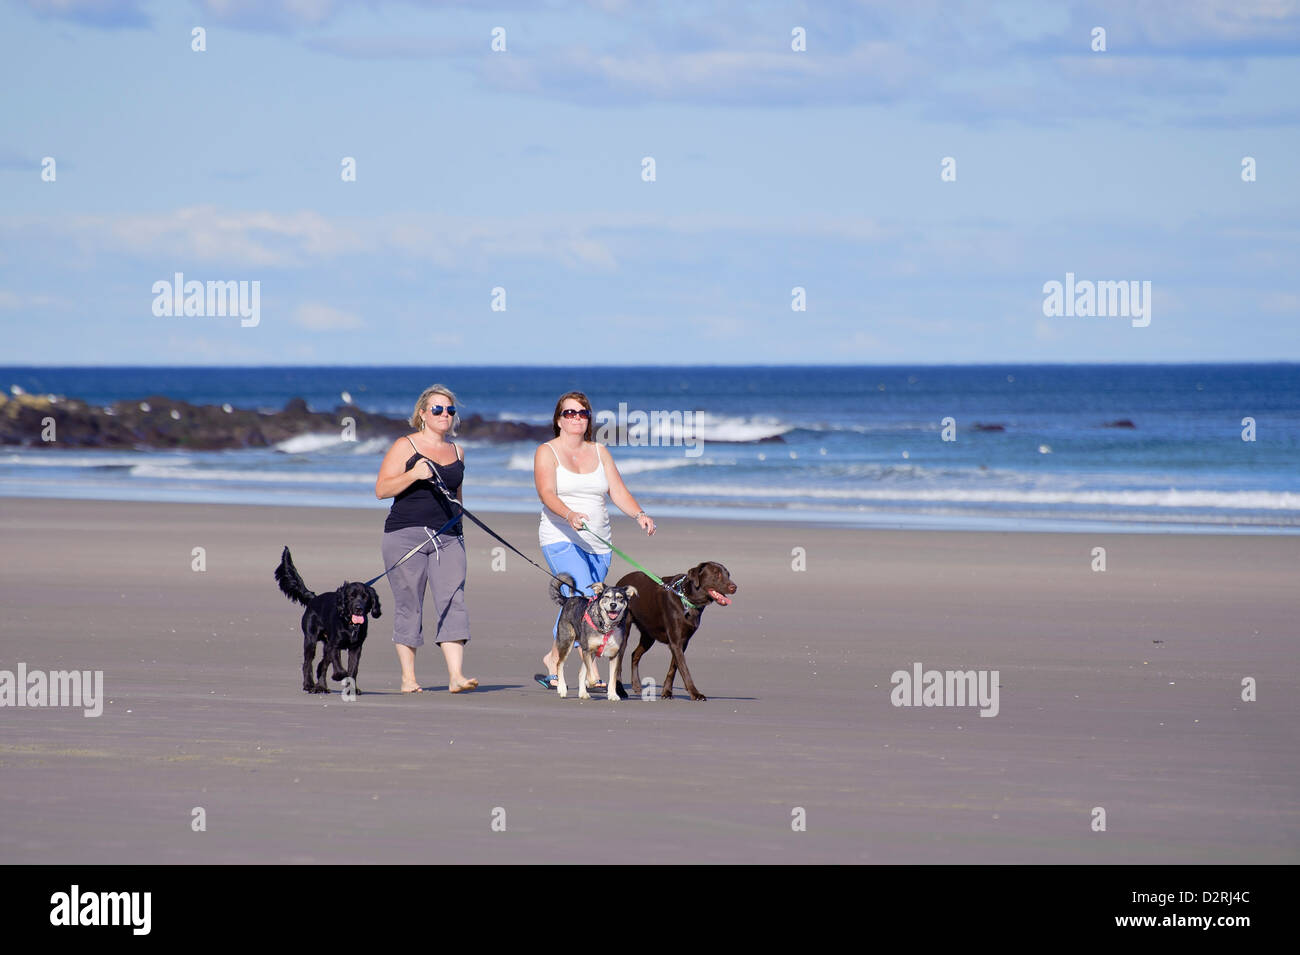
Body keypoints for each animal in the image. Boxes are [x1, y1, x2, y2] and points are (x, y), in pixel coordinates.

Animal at [271, 545, 379, 696]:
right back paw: (309, 685)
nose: (359, 608)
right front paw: (339, 675)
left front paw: (352, 688)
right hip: (311, 639)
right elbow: (339, 665)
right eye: (351, 596)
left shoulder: (356, 648)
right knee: (308, 663)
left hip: (325, 645)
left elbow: (353, 669)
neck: (350, 624)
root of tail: (314, 598)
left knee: (321, 665)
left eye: (365, 597)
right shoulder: (334, 644)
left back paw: (321, 686)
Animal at [613, 561, 738, 701]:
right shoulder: (676, 642)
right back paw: (620, 690)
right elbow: (684, 669)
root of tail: (620, 583)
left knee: (635, 655)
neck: (688, 599)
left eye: (728, 574)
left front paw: (667, 692)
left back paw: (636, 685)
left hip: (648, 635)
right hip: (624, 633)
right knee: (618, 663)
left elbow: (673, 669)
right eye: (716, 574)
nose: (734, 587)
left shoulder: (682, 642)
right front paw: (695, 693)